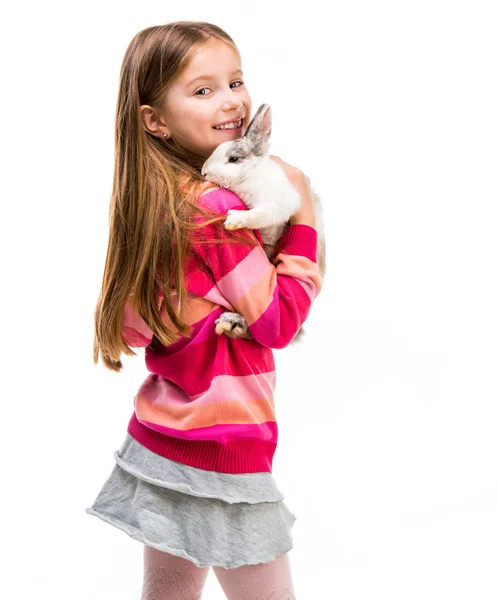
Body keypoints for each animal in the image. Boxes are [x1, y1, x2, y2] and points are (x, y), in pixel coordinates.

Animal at [200, 104, 324, 342]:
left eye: (233, 159)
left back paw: (232, 324)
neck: (250, 176)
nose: (204, 172)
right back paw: (230, 324)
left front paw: (234, 220)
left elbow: (260, 214)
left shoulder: (278, 205)